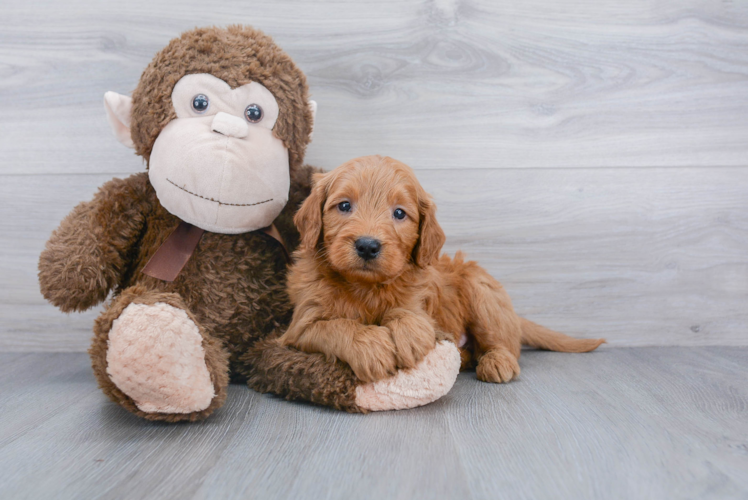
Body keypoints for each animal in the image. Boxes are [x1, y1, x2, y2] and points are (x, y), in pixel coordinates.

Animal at [278, 156, 604, 382]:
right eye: (344, 206)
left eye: (399, 213)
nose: (368, 246)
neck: (365, 286)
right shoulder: (300, 327)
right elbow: (335, 326)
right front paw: (371, 346)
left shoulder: (420, 302)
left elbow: (409, 314)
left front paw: (408, 337)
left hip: (479, 288)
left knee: (505, 344)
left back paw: (497, 362)